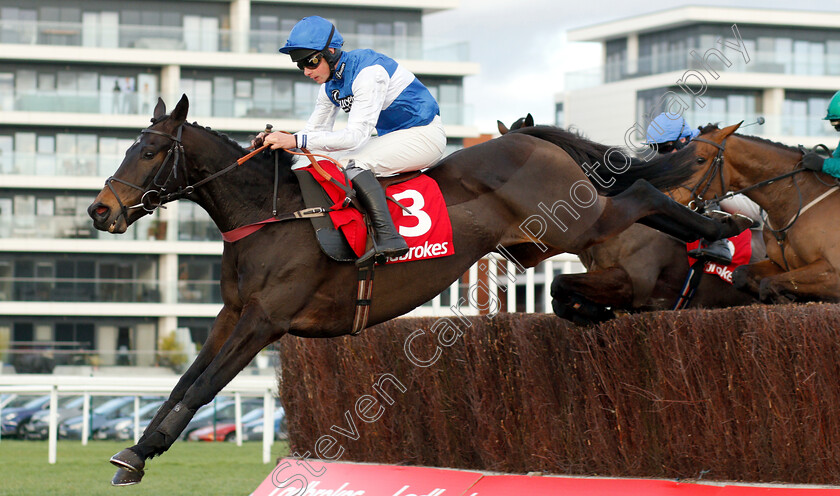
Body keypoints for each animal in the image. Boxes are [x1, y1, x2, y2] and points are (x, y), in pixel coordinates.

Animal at [88, 96, 752, 484]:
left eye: (151, 150)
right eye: (126, 145)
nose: (100, 210)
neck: (271, 214)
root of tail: (531, 139)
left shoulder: (265, 320)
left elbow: (203, 386)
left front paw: (137, 456)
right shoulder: (233, 314)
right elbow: (184, 381)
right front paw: (137, 452)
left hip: (579, 220)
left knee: (640, 194)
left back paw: (721, 234)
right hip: (546, 239)